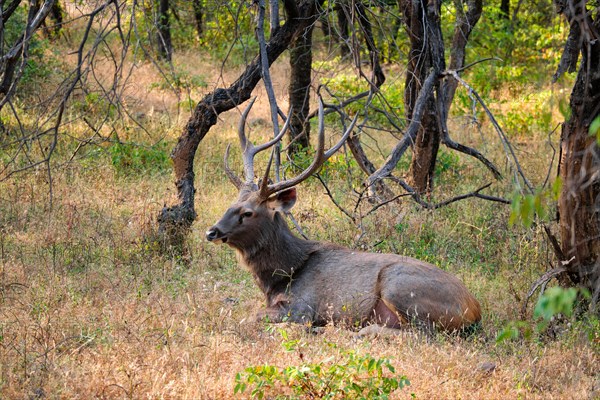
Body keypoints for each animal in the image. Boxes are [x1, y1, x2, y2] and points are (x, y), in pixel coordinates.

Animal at [207, 98, 482, 332]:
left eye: (248, 212)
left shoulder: (302, 307)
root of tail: (474, 310)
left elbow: (251, 316)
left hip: (401, 288)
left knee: (419, 333)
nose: (211, 231)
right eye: (232, 203)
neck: (283, 275)